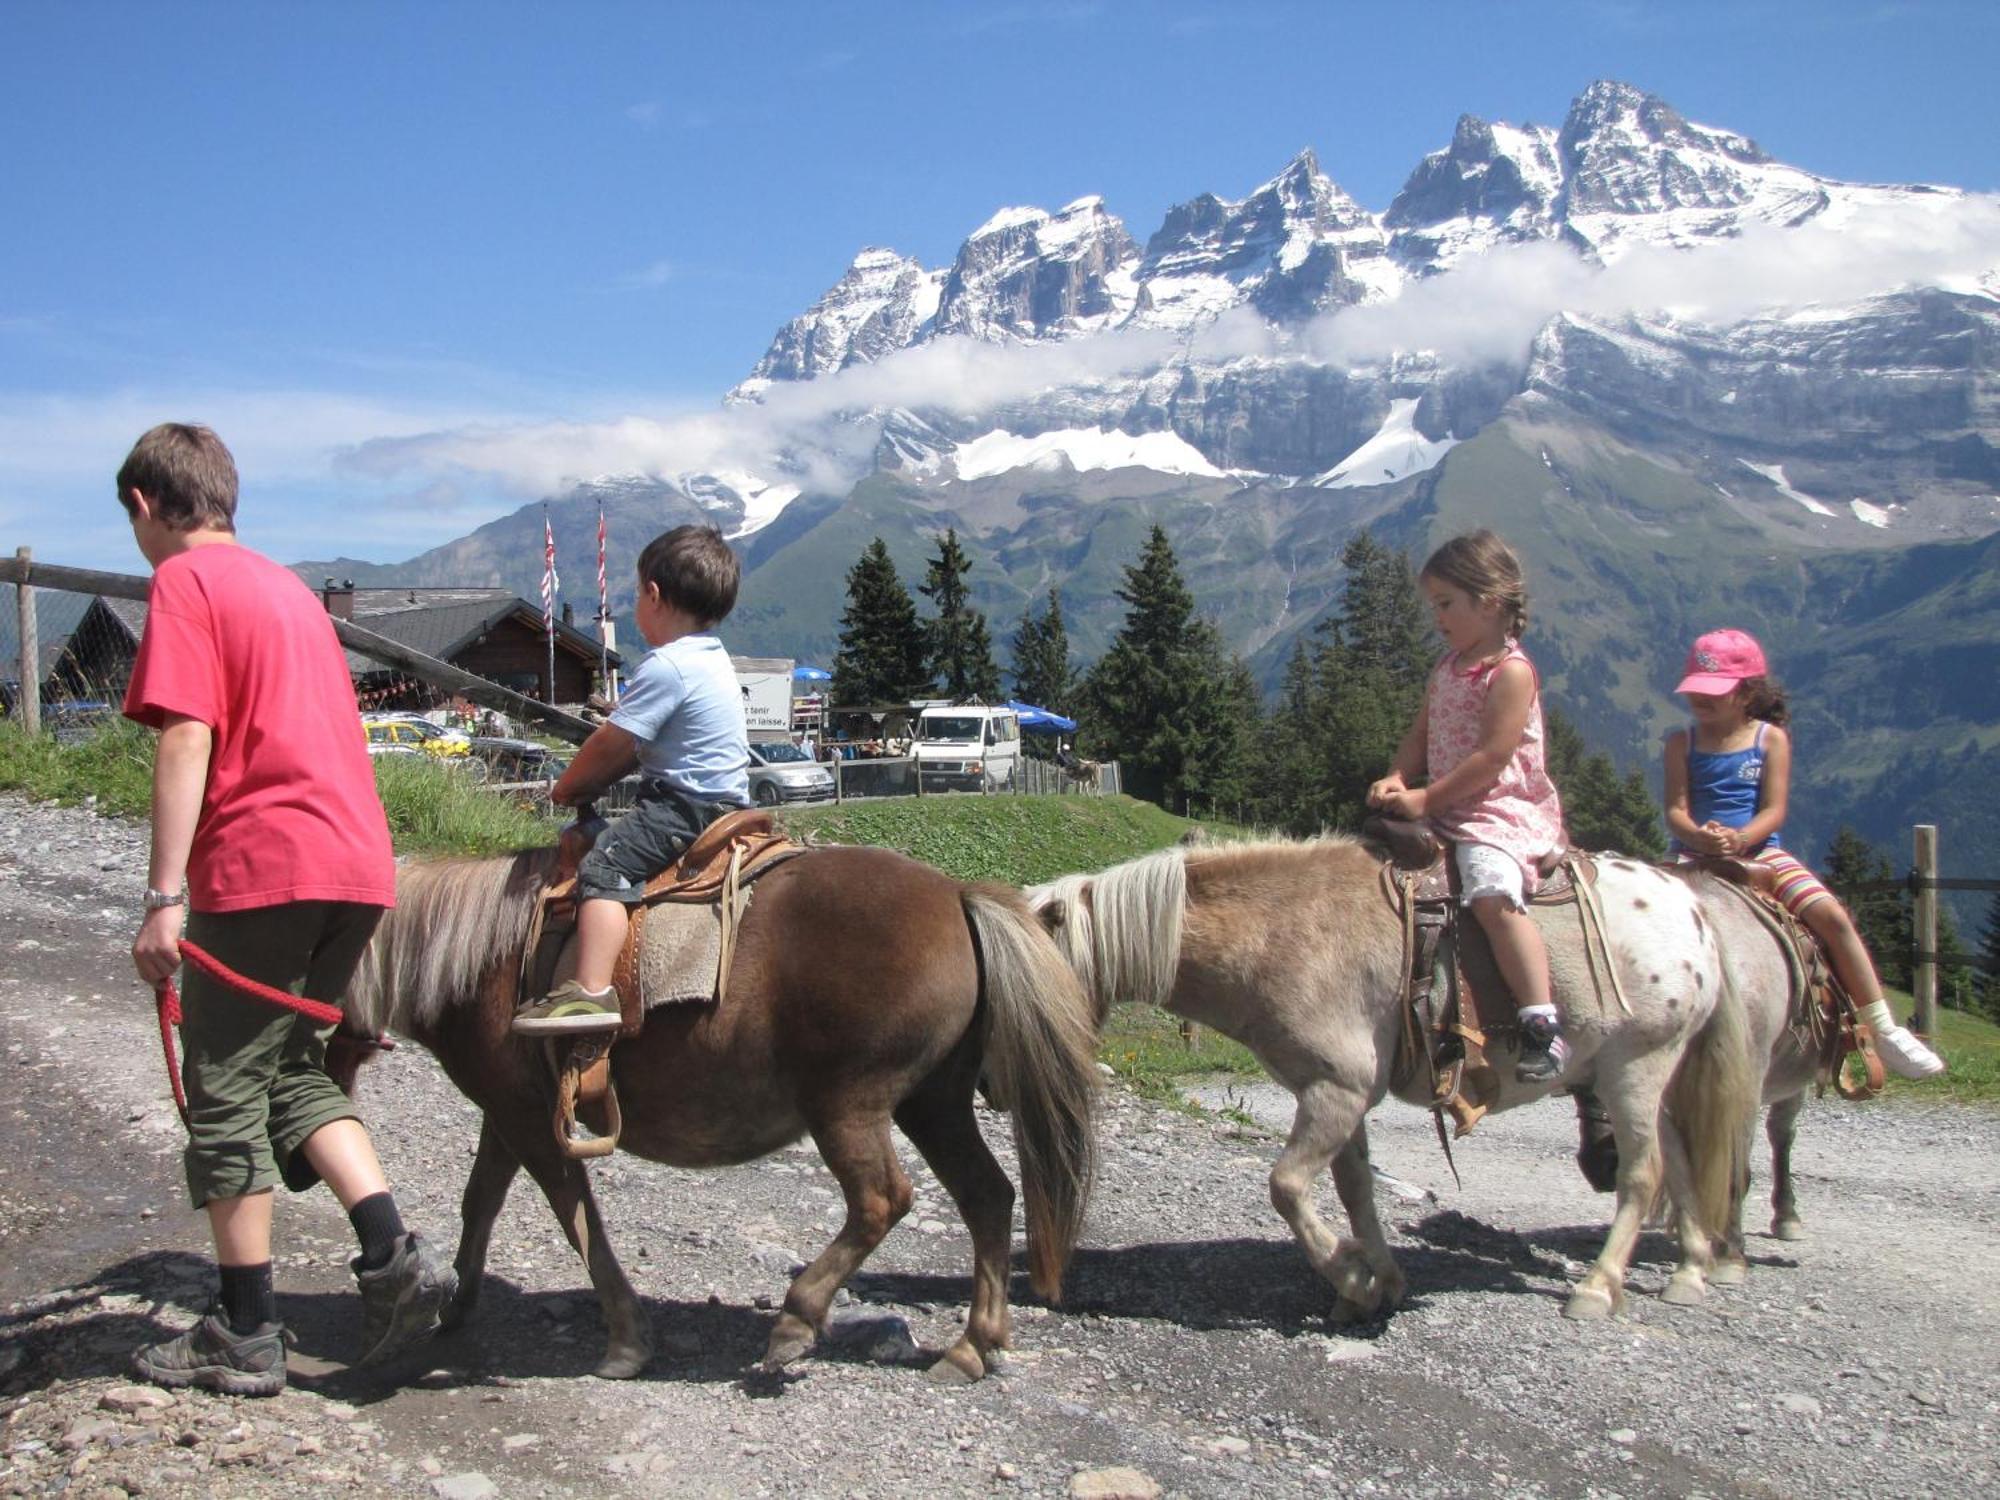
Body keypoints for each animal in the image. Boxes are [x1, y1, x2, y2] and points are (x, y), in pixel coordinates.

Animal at [340, 848, 1096, 1384]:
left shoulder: (529, 1119)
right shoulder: (506, 1112)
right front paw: (456, 1304)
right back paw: (972, 1347)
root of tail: (956, 896)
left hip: (851, 1106)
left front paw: (626, 1341)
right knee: (987, 1197)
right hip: (933, 1104)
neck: (480, 957)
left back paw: (796, 1320)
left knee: (883, 1200)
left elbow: (576, 1217)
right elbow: (482, 1203)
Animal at [1040, 840, 1760, 1320]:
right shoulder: (1338, 1096)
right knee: (1681, 1160)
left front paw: (1350, 1278)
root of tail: (1693, 910)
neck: (1283, 932)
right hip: (1649, 1075)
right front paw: (1378, 1280)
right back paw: (1690, 1271)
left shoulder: (1336, 1090)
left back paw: (1597, 1287)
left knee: (1643, 1174)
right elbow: (1355, 1188)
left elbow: (1288, 1186)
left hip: (1635, 1067)